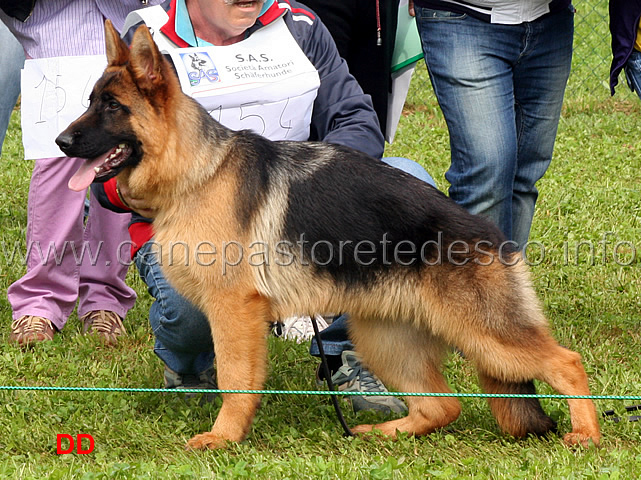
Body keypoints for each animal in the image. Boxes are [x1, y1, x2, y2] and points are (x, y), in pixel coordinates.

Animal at [55, 20, 600, 450]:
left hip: (483, 334)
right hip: (385, 337)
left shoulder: (235, 311)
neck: (198, 171)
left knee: (567, 363)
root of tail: (491, 234)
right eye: (89, 102)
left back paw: (587, 434)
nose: (60, 142)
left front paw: (224, 437)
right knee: (442, 406)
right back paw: (386, 433)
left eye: (112, 107)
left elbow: (235, 380)